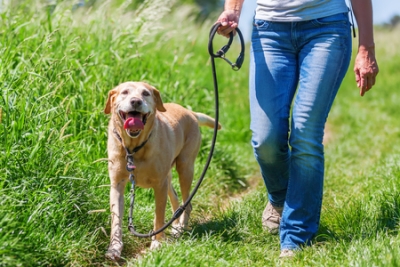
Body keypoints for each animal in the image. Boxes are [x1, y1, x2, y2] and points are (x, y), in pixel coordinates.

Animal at [104, 82, 220, 262]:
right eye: (125, 92)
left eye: (145, 93)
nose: (135, 101)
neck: (134, 148)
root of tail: (191, 113)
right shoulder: (117, 185)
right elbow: (116, 220)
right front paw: (114, 248)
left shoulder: (159, 185)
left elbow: (158, 216)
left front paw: (157, 243)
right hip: (169, 176)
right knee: (176, 200)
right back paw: (176, 226)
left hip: (185, 168)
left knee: (187, 203)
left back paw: (181, 228)